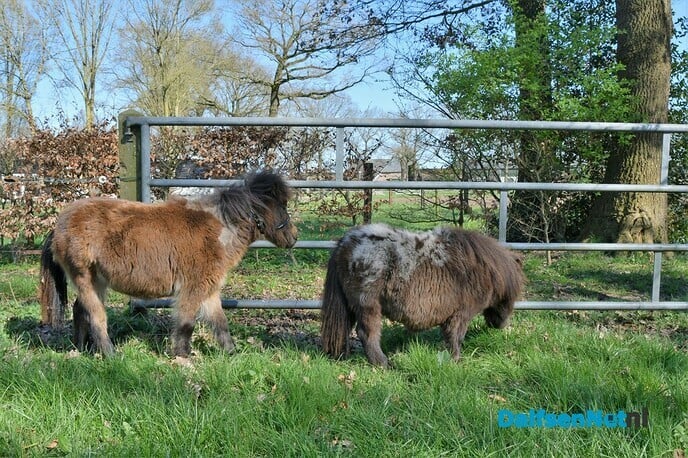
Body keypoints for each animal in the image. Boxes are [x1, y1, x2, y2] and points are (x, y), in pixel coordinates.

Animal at [39, 170, 297, 357]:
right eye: (281, 206)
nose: (294, 238)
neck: (219, 230)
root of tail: (59, 224)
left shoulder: (209, 290)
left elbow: (220, 323)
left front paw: (232, 354)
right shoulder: (193, 288)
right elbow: (186, 323)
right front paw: (181, 356)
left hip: (97, 281)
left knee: (79, 311)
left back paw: (80, 349)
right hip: (84, 277)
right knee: (96, 316)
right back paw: (110, 355)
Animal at [320, 223, 524, 368]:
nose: (500, 325)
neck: (481, 271)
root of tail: (345, 243)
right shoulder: (460, 315)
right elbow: (456, 338)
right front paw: (456, 360)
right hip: (367, 305)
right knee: (367, 334)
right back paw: (384, 364)